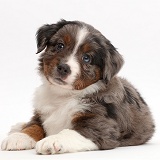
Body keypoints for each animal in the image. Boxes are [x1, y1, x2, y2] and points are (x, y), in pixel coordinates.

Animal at [0, 19, 154, 154]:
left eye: (86, 58)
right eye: (60, 46)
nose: (63, 68)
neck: (63, 95)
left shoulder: (101, 125)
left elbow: (71, 131)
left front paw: (53, 140)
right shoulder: (41, 113)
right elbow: (33, 125)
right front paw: (19, 137)